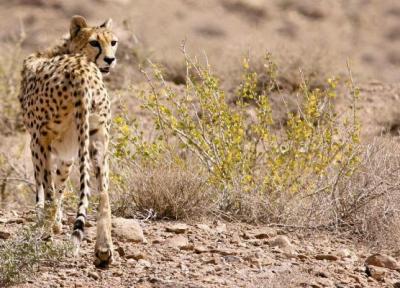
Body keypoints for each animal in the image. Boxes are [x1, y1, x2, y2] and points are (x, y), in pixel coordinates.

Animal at [18, 15, 118, 268]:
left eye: (113, 42)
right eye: (94, 42)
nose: (110, 59)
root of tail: (82, 71)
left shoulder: (36, 142)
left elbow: (45, 189)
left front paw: (48, 223)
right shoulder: (67, 152)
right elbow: (61, 184)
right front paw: (57, 221)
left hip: (42, 139)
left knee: (48, 188)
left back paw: (43, 237)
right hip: (97, 137)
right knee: (104, 192)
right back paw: (104, 249)